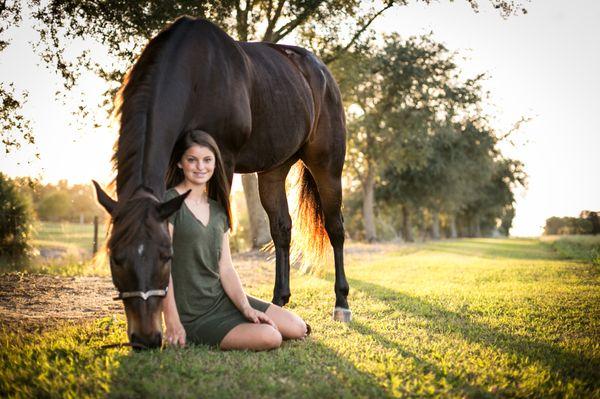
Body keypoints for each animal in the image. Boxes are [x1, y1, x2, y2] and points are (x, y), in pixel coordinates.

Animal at [91, 14, 350, 350]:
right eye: (116, 257)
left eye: (164, 256)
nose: (145, 338)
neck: (196, 75)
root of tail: (321, 72)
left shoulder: (223, 160)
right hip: (273, 170)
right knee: (282, 229)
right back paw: (278, 302)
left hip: (327, 166)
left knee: (335, 228)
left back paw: (341, 305)